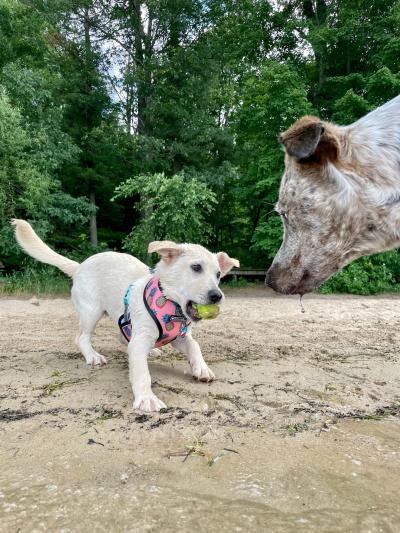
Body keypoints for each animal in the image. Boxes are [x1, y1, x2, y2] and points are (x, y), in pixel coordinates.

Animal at [12, 220, 239, 412]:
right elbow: (142, 373)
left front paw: (202, 368)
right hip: (91, 312)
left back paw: (152, 350)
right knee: (82, 337)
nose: (217, 296)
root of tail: (80, 266)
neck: (170, 305)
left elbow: (195, 346)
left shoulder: (180, 336)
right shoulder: (140, 342)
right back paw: (93, 356)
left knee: (122, 336)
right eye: (196, 267)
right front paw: (147, 398)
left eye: (218, 275)